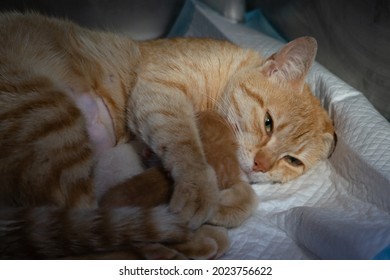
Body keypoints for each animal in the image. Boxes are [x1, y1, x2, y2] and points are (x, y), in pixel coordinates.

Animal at [0, 12, 336, 260]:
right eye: (268, 123)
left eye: (292, 161)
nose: (261, 165)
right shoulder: (159, 92)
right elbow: (185, 143)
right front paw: (200, 191)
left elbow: (246, 200)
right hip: (52, 120)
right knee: (90, 232)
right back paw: (191, 241)